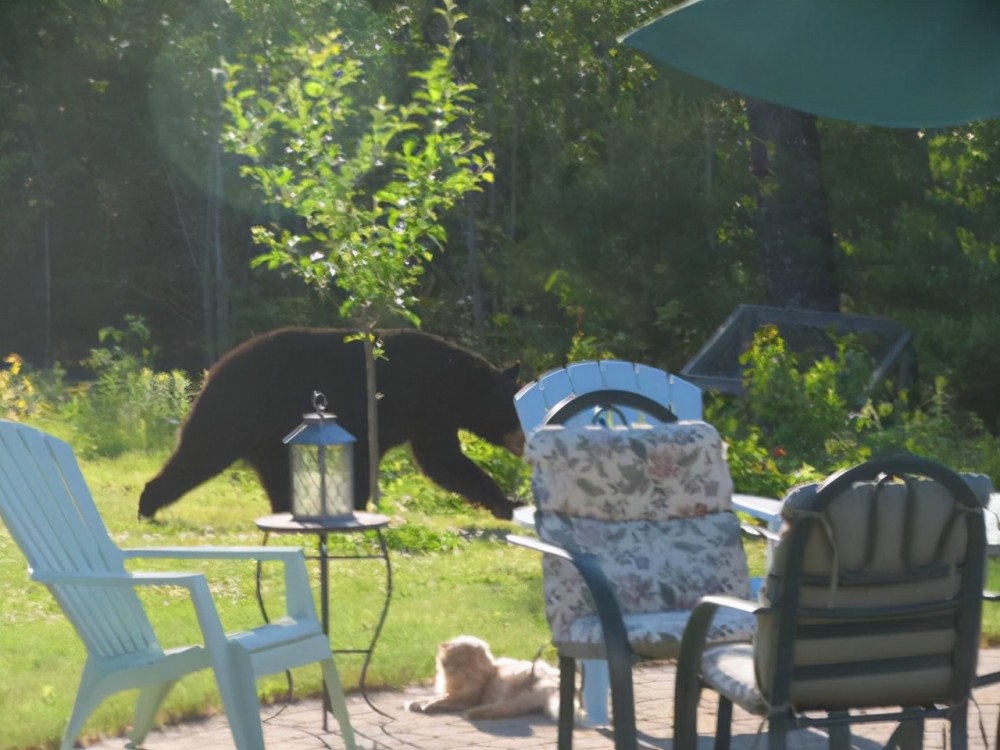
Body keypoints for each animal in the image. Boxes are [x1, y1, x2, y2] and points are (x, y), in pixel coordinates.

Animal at [138, 328, 528, 524]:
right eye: (512, 411)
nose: (525, 442)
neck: (447, 383)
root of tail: (214, 371)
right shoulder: (402, 406)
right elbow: (438, 460)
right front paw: (505, 503)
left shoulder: (429, 417)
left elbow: (442, 460)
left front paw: (506, 502)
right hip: (237, 410)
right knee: (201, 451)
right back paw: (147, 504)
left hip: (265, 433)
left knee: (271, 469)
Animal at [404, 636, 564, 724]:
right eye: (445, 660)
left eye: (458, 661)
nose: (446, 666)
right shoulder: (452, 692)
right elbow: (430, 697)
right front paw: (414, 703)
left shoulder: (467, 697)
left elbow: (439, 700)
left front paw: (425, 706)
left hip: (511, 694)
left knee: (506, 708)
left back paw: (470, 713)